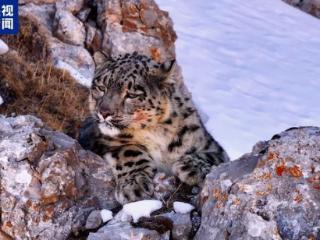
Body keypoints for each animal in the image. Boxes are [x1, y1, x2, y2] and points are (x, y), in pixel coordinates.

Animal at [80, 51, 230, 203]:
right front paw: (134, 186)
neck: (158, 133)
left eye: (131, 95)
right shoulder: (103, 141)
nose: (104, 112)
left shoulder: (213, 147)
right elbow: (129, 152)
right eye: (101, 88)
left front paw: (192, 167)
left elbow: (211, 156)